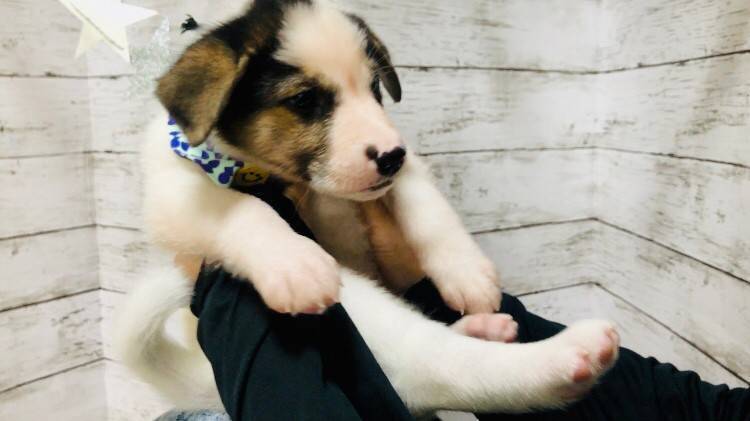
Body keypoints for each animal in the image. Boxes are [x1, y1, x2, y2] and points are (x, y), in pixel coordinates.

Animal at [115, 0, 620, 415]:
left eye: (375, 87)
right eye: (304, 100)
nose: (391, 155)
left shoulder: (401, 173)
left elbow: (428, 207)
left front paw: (466, 271)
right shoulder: (172, 194)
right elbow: (243, 209)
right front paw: (293, 263)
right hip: (358, 304)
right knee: (431, 366)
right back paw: (564, 358)